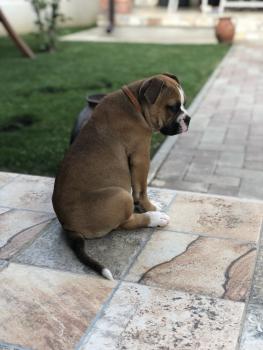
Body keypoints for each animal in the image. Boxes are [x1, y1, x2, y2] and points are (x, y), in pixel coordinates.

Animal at [52, 73, 192, 278]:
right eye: (172, 107)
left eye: (183, 104)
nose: (188, 119)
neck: (135, 103)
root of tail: (68, 226)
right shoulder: (141, 156)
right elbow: (141, 189)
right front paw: (150, 207)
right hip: (120, 196)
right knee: (125, 223)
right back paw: (155, 218)